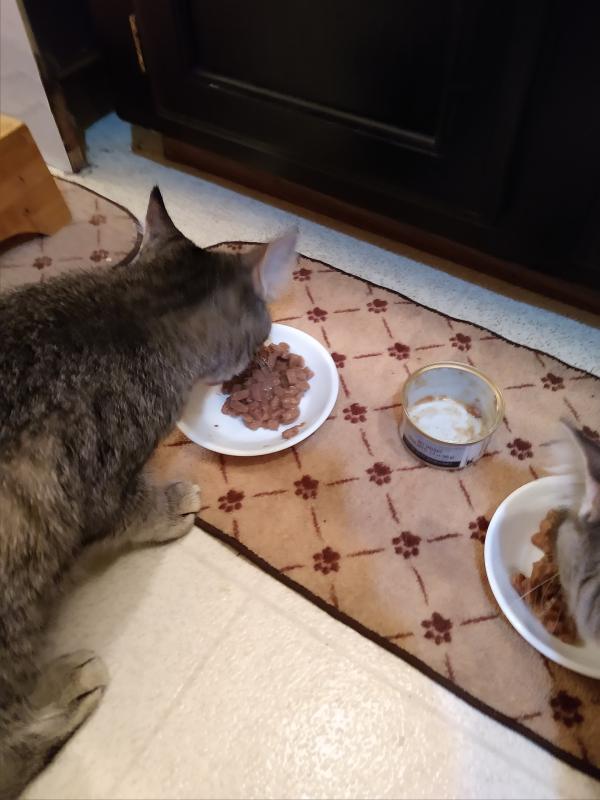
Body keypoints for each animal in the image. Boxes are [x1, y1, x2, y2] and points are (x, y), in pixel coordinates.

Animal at [0, 187, 297, 798]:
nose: (262, 356)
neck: (132, 310)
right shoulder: (99, 487)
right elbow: (135, 509)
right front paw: (170, 505)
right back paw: (68, 688)